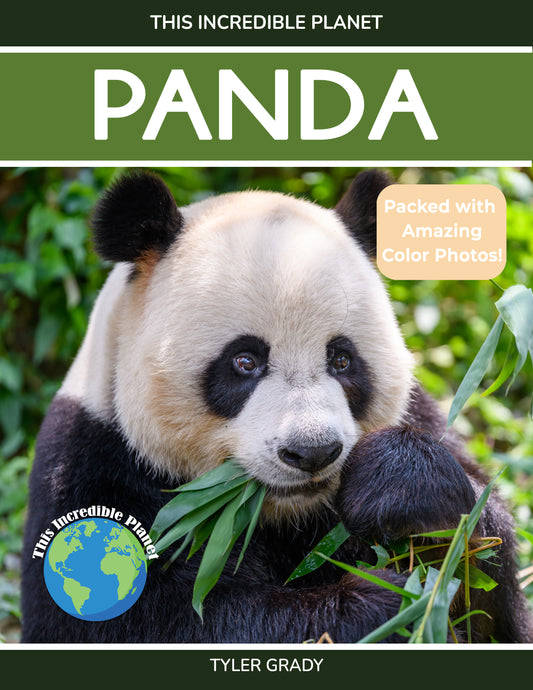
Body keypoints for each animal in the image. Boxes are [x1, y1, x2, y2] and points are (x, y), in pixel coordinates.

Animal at [21, 169, 533, 643]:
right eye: (245, 361)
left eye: (341, 359)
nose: (312, 452)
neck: (286, 515)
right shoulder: (94, 465)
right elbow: (163, 619)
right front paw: (385, 610)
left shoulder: (420, 413)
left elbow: (489, 584)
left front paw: (403, 492)